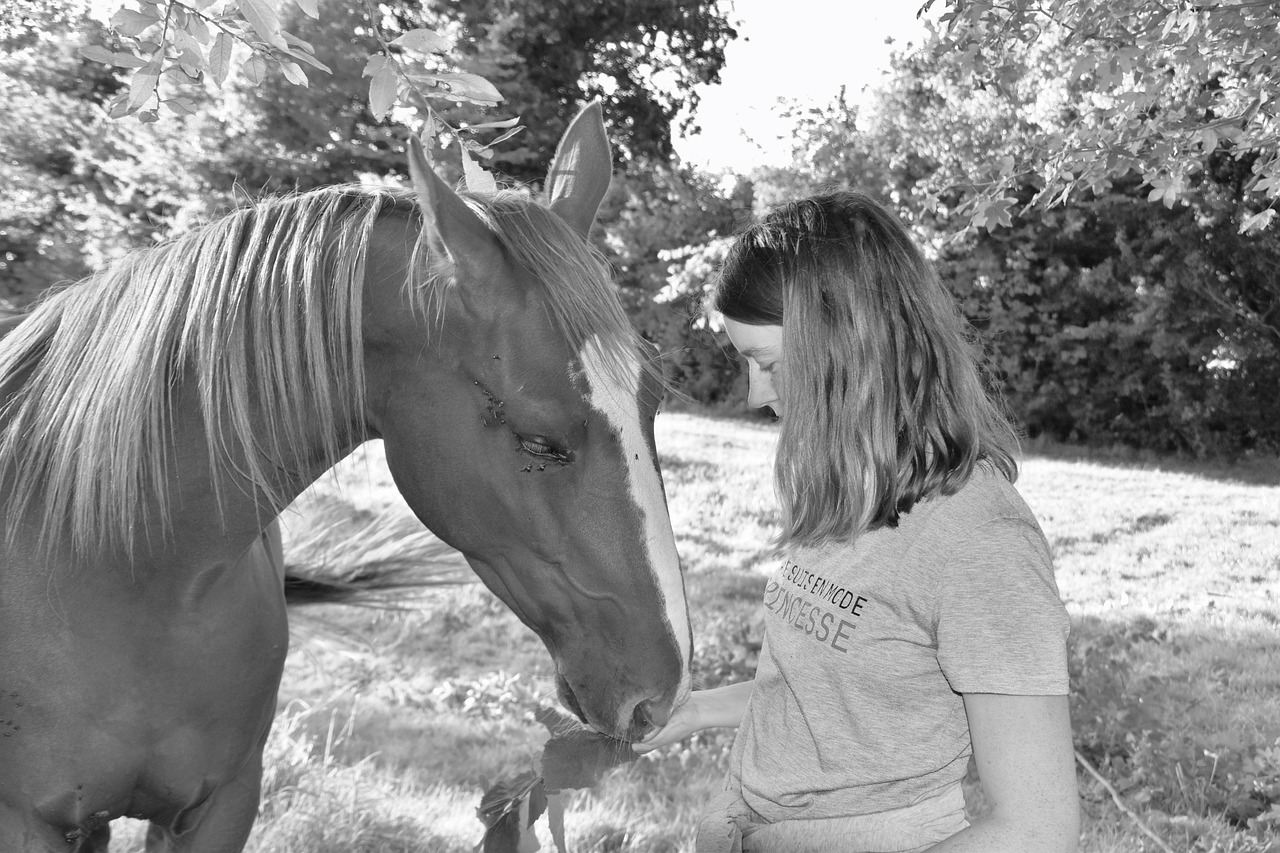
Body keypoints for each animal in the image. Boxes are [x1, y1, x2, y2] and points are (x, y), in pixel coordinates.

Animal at [0, 103, 692, 852]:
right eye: (539, 440)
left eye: (653, 403)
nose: (664, 691)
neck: (125, 568)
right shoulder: (26, 821)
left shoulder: (223, 802)